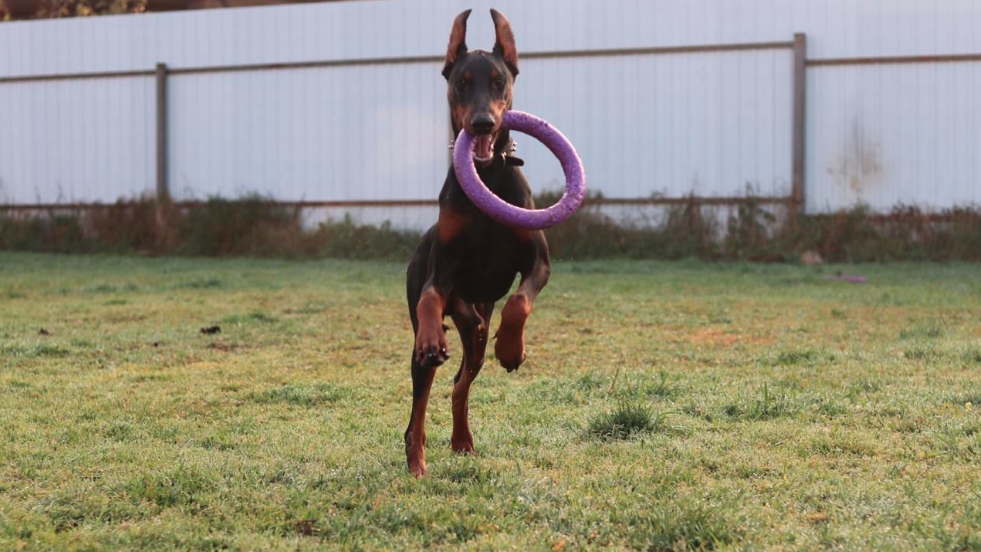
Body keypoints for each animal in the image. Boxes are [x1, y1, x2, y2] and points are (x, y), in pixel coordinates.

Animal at [402, 8, 548, 476]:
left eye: (499, 80)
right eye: (462, 81)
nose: (482, 122)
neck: (486, 174)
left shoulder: (538, 261)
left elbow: (519, 301)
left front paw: (512, 349)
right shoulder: (441, 268)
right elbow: (432, 296)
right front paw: (435, 337)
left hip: (477, 339)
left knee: (461, 380)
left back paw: (463, 439)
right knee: (419, 408)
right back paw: (417, 462)